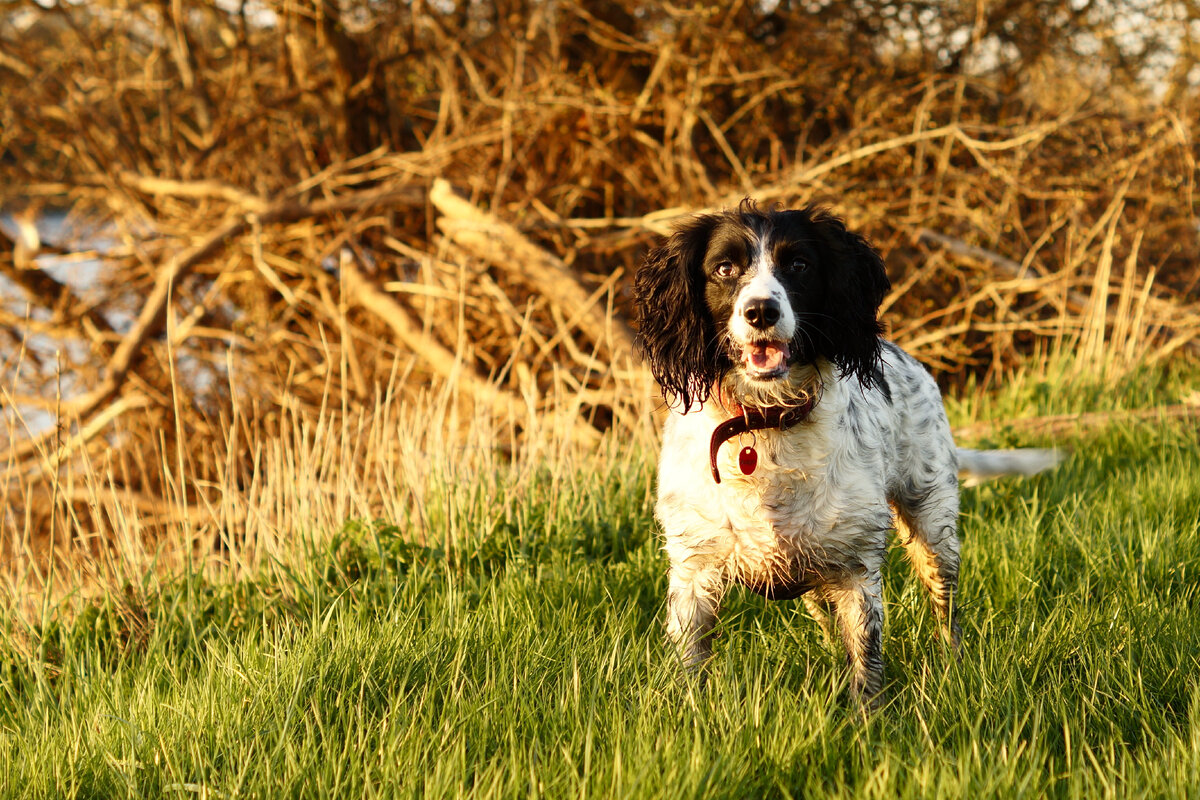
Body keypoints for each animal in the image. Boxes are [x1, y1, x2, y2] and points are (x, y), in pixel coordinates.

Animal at [633, 203, 1056, 705]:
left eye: (798, 264)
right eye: (725, 268)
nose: (761, 311)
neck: (765, 422)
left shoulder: (856, 566)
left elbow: (865, 663)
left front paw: (867, 714)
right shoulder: (694, 570)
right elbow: (690, 666)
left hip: (932, 525)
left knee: (946, 609)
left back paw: (954, 664)